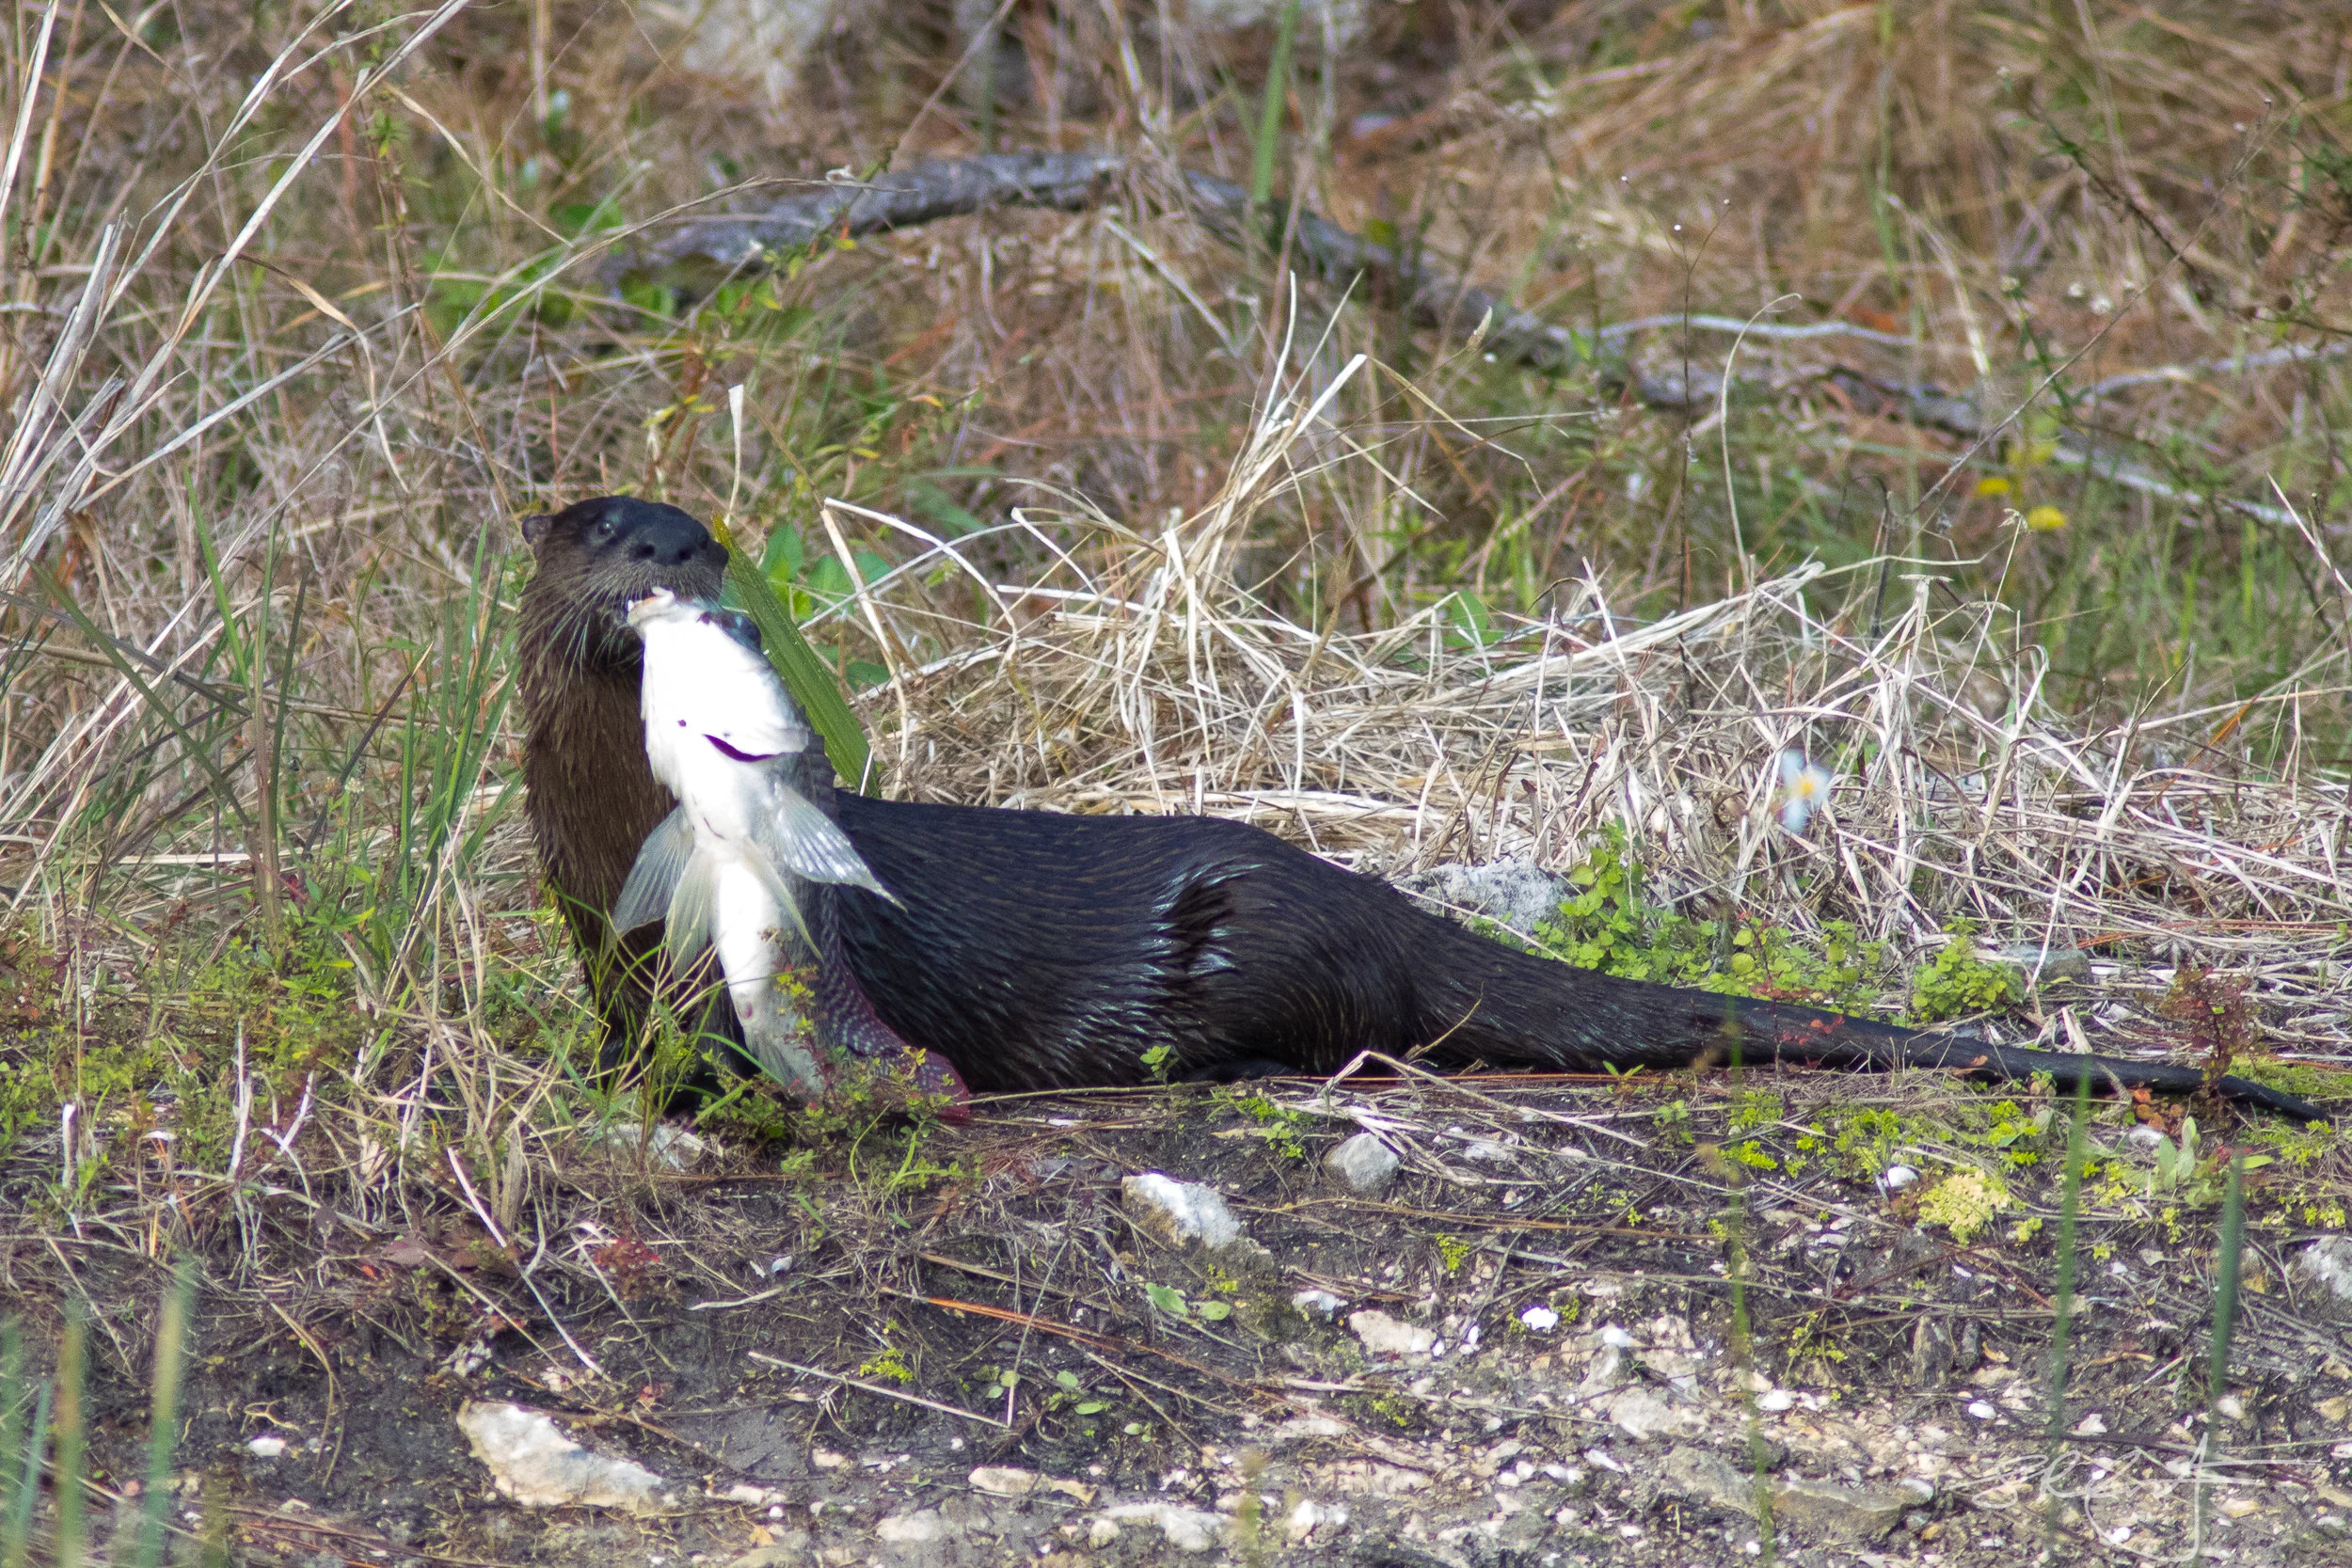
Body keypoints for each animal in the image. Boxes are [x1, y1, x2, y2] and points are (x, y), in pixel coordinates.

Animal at [517, 496, 2327, 1123]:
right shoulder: (601, 951)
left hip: (1261, 935)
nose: (666, 557)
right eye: (604, 525)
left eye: (698, 540)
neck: (607, 849)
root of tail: (1380, 896)